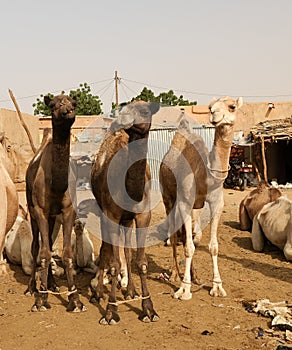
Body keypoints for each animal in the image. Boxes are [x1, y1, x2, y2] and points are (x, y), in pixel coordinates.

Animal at [25, 93, 85, 312]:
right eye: (53, 104)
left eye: (73, 103)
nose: (68, 111)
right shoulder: (40, 210)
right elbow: (42, 253)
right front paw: (41, 300)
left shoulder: (68, 211)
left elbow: (67, 254)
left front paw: (75, 300)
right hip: (32, 209)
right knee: (37, 246)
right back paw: (32, 288)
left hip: (52, 217)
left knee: (49, 243)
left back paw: (52, 285)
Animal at [90, 101, 160, 326]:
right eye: (125, 108)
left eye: (145, 111)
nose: (121, 121)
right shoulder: (111, 214)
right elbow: (113, 262)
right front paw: (110, 312)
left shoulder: (143, 215)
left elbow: (141, 262)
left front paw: (148, 308)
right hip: (104, 211)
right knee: (105, 248)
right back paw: (98, 293)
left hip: (127, 220)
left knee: (126, 250)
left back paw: (130, 290)